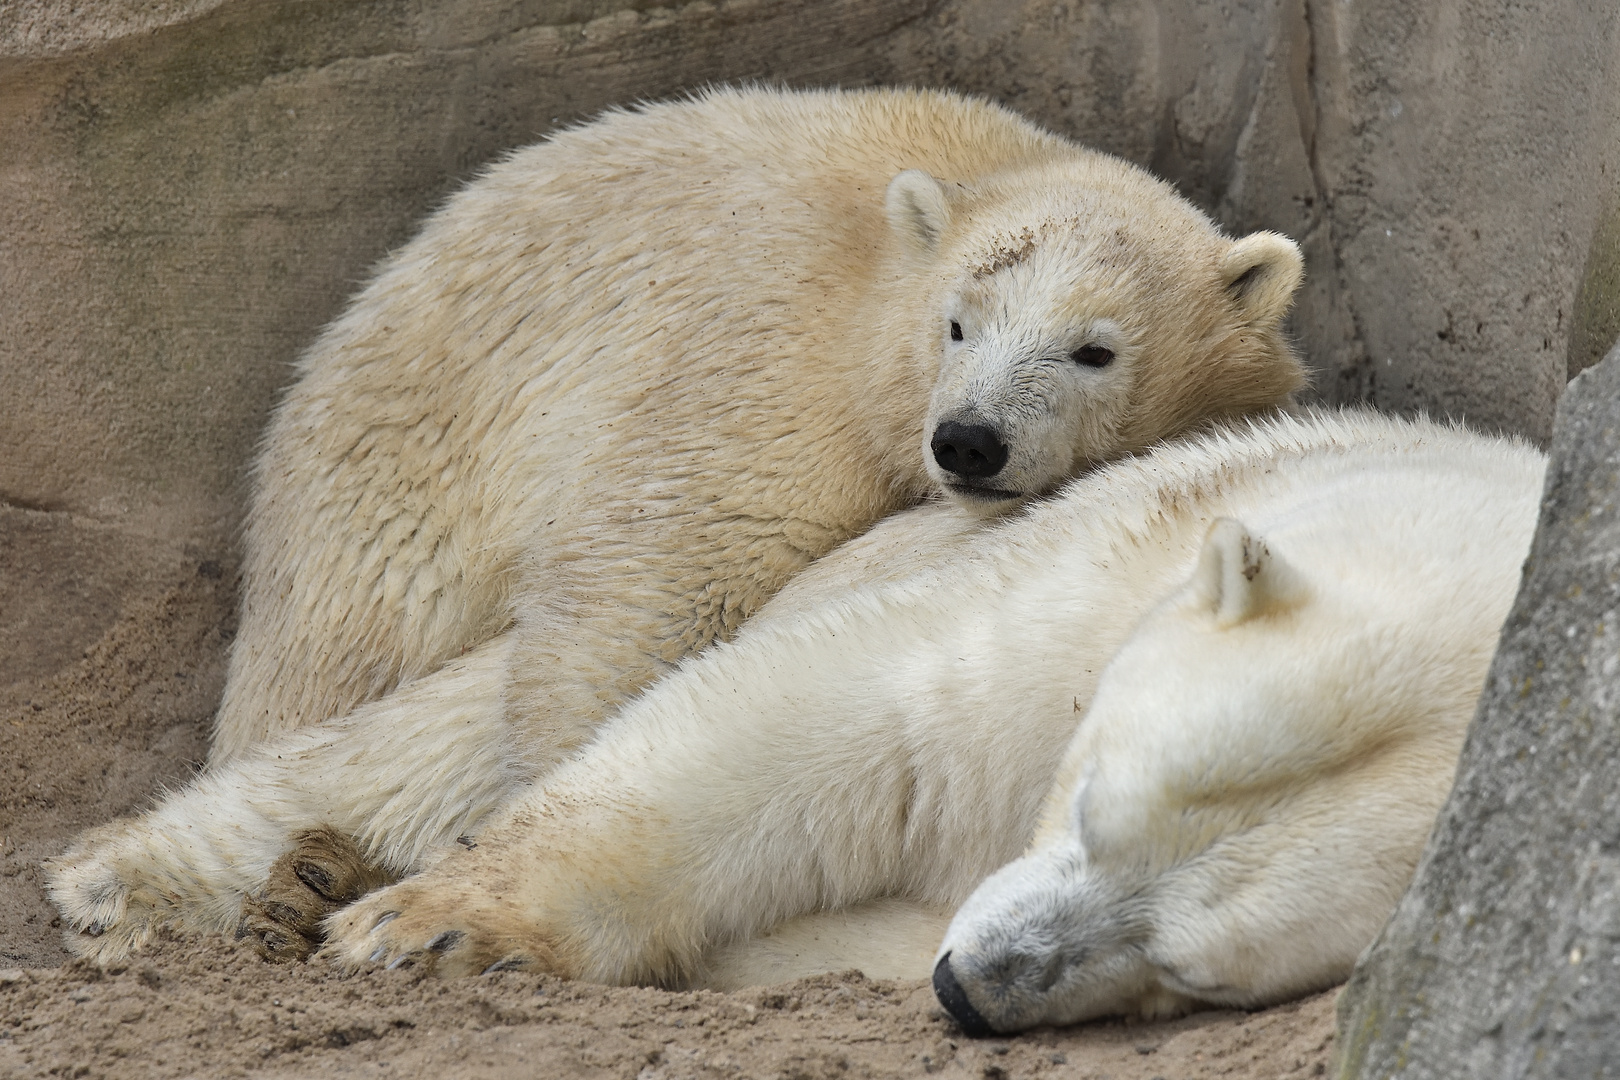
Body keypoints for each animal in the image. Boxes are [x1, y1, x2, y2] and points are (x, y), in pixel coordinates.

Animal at [47, 409, 1542, 1029]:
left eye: (1204, 975)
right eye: (1091, 806)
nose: (969, 987)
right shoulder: (1084, 589)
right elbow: (837, 719)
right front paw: (427, 927)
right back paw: (140, 882)